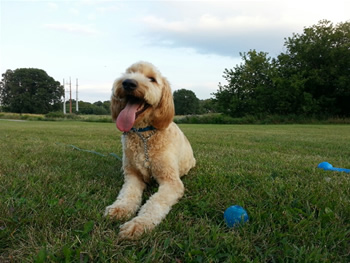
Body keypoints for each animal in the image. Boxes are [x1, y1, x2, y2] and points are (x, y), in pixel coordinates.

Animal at [104, 60, 197, 240]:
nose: (128, 83)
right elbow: (128, 194)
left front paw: (138, 224)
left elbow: (155, 203)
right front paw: (120, 209)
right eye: (129, 73)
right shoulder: (133, 175)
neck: (144, 136)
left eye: (152, 79)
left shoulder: (171, 182)